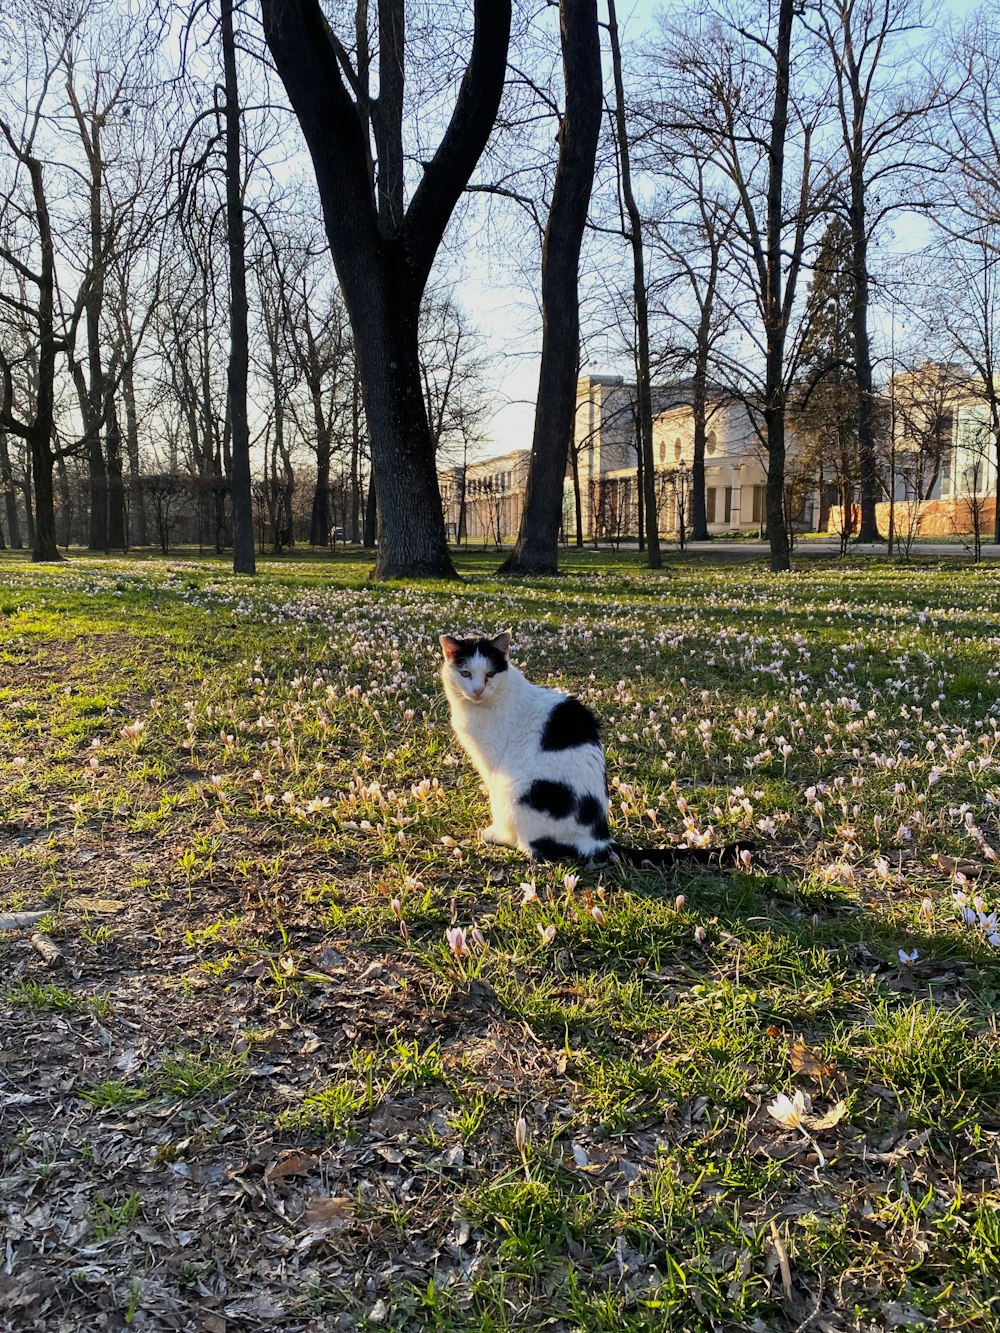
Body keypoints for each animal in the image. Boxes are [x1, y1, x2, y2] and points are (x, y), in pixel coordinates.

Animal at [442, 631, 741, 869]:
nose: (478, 690)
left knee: (532, 845)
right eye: (465, 673)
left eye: (490, 674)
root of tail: (599, 838)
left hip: (515, 790)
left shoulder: (492, 766)